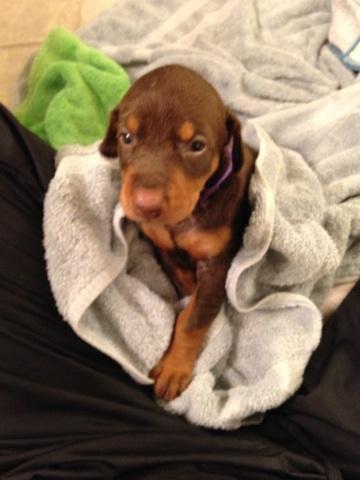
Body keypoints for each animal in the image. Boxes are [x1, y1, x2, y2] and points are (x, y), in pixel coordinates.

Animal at [100, 63, 255, 402]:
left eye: (196, 146)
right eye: (126, 137)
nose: (146, 205)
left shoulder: (218, 264)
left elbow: (193, 321)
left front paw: (174, 368)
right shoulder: (162, 247)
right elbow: (184, 283)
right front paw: (188, 294)